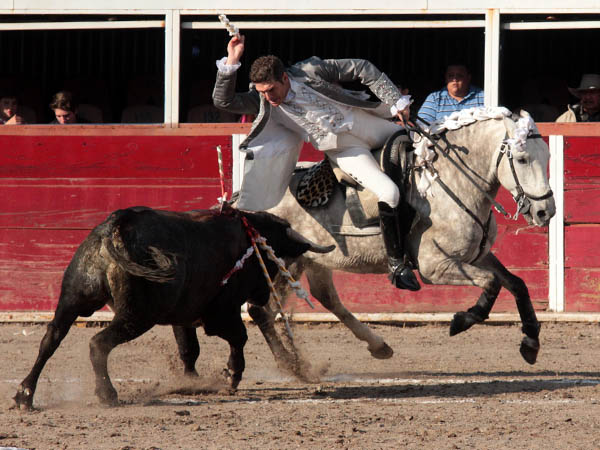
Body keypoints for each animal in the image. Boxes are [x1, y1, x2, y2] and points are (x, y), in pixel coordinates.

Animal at [14, 206, 336, 410]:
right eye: (271, 256)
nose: (263, 295)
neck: (248, 235)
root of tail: (116, 226)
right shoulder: (220, 313)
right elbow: (238, 338)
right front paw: (231, 376)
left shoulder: (183, 316)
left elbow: (188, 349)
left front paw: (190, 382)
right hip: (137, 315)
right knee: (98, 343)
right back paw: (107, 394)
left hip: (72, 298)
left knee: (51, 339)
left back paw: (24, 395)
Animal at [246, 108, 556, 372]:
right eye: (522, 158)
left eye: (547, 156)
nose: (545, 211)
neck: (450, 183)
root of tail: (244, 200)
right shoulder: (435, 267)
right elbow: (492, 284)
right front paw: (461, 320)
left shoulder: (477, 256)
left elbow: (517, 283)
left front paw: (531, 342)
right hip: (278, 262)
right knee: (260, 309)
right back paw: (291, 365)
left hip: (307, 261)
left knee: (321, 299)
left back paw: (374, 346)